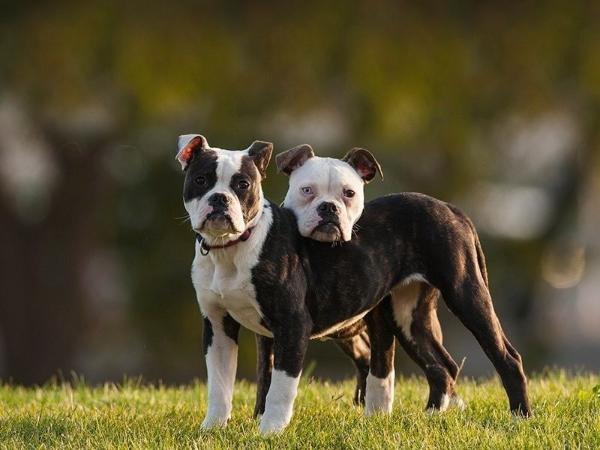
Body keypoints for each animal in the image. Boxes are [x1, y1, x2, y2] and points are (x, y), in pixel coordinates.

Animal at [177, 135, 528, 434]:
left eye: (243, 185)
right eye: (201, 180)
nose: (219, 199)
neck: (231, 249)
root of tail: (451, 209)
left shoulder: (292, 326)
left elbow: (280, 387)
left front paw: (270, 432)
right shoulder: (218, 328)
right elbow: (220, 384)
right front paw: (212, 429)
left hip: (466, 295)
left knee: (506, 357)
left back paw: (519, 417)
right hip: (407, 315)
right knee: (440, 365)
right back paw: (431, 416)